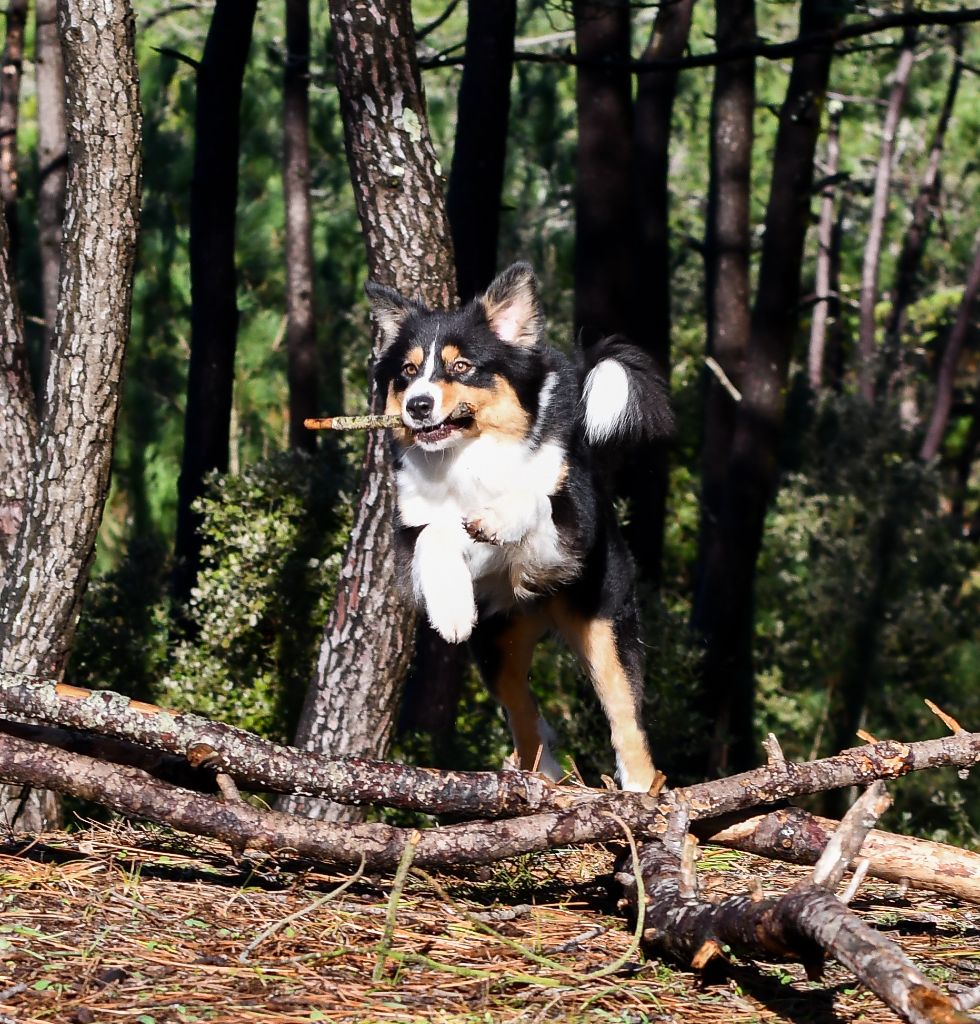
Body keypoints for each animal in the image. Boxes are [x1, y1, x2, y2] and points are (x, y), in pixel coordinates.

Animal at [366, 264, 671, 790]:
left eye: (461, 366)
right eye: (406, 371)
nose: (418, 405)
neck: (467, 458)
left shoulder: (568, 533)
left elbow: (533, 498)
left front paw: (499, 517)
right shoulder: (410, 532)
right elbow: (436, 533)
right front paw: (450, 607)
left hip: (604, 623)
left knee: (625, 717)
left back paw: (637, 789)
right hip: (496, 646)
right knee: (524, 716)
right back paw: (541, 779)